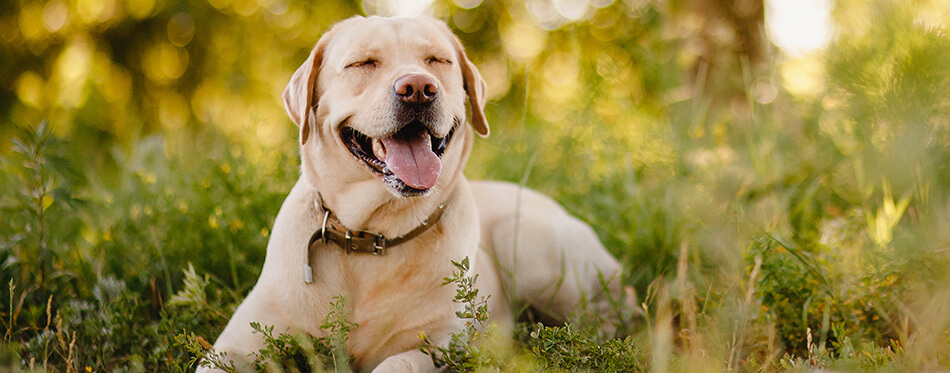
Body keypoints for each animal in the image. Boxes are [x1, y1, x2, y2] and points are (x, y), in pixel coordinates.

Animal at [203, 15, 632, 372]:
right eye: (364, 63)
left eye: (436, 60)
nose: (418, 89)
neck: (371, 237)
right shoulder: (236, 345)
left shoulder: (437, 346)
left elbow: (396, 363)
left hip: (530, 243)